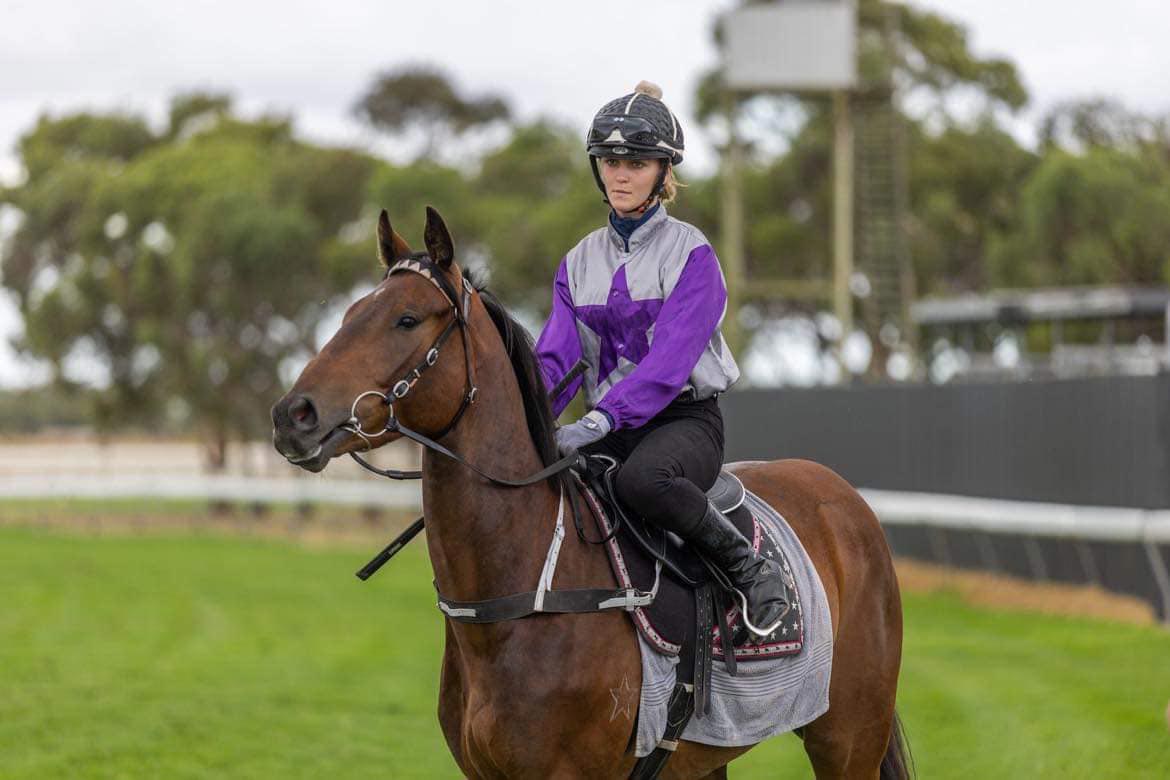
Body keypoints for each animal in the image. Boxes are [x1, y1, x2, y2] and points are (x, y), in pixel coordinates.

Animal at [276, 209, 912, 780]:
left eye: (406, 319)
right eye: (350, 313)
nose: (293, 415)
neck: (521, 598)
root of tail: (843, 497)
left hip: (849, 736)